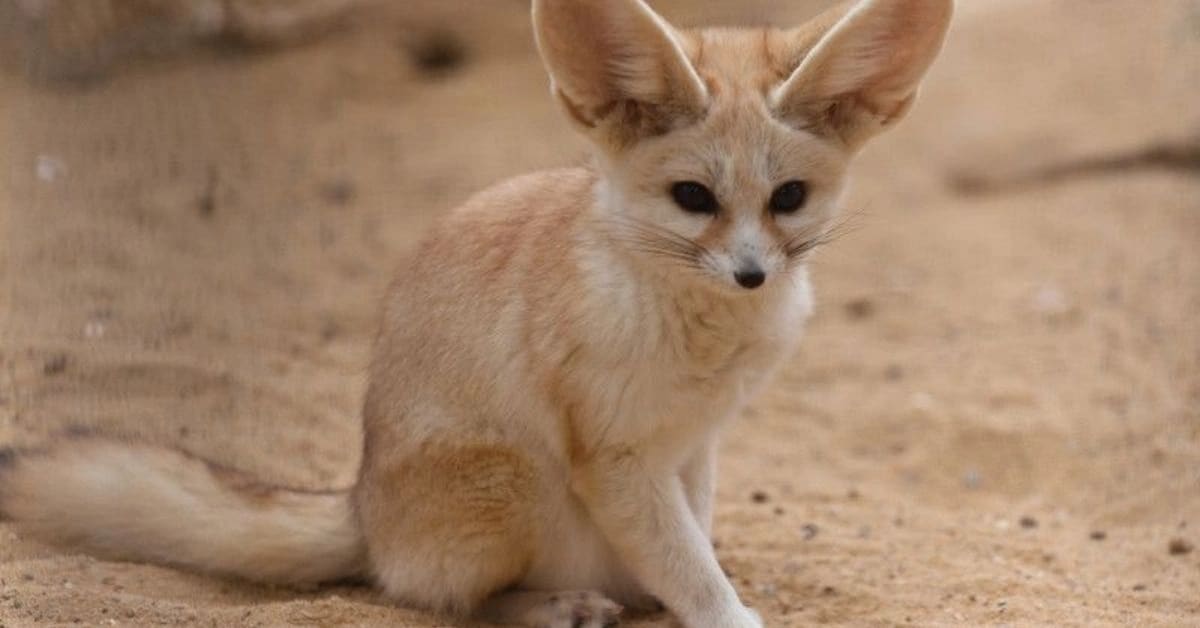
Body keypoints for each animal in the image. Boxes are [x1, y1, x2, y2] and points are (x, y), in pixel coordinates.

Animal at [0, 0, 952, 626]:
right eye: (694, 198)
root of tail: (362, 506)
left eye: (788, 198)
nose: (753, 274)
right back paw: (554, 604)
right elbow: (691, 567)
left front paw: (679, 592)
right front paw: (717, 611)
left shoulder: (698, 445)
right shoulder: (615, 459)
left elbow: (691, 547)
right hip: (518, 478)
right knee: (438, 601)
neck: (698, 327)